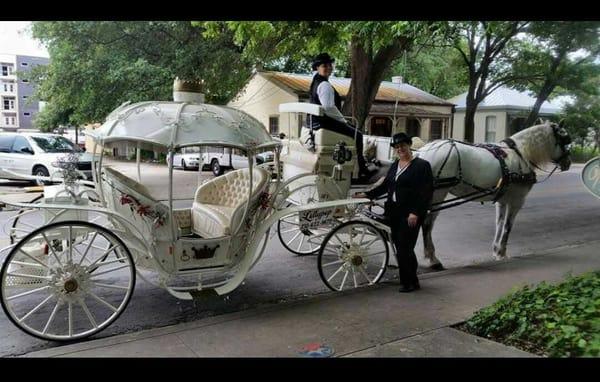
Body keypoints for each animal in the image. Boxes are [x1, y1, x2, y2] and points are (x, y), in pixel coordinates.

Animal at [414, 122, 568, 268]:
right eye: (565, 140)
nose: (567, 163)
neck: (520, 154)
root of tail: (422, 153)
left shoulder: (502, 200)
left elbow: (499, 223)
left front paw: (495, 250)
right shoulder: (517, 200)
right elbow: (508, 226)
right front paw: (502, 252)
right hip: (438, 193)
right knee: (427, 224)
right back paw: (433, 259)